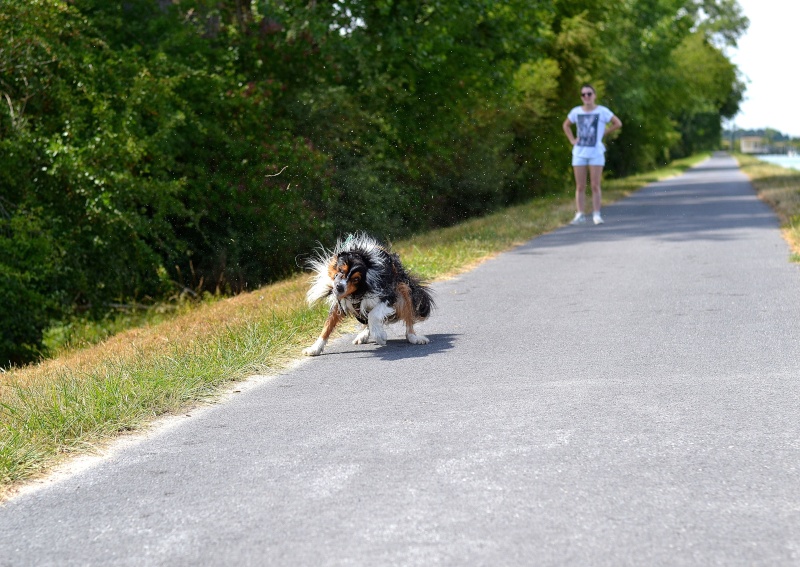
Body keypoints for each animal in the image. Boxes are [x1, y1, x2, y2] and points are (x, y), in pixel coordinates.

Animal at [304, 233, 434, 358]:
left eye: (356, 279)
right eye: (341, 270)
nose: (339, 287)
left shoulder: (388, 296)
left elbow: (373, 315)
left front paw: (380, 336)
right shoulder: (340, 302)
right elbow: (328, 324)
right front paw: (314, 348)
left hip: (403, 288)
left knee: (407, 321)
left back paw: (414, 337)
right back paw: (362, 335)